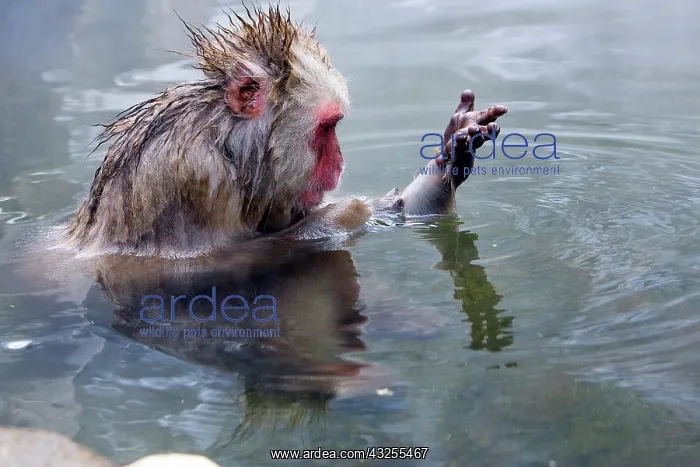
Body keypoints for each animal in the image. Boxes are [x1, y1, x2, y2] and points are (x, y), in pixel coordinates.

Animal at [62, 5, 508, 258]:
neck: (230, 147)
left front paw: (452, 154)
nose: (340, 164)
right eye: (328, 127)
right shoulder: (193, 177)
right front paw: (344, 214)